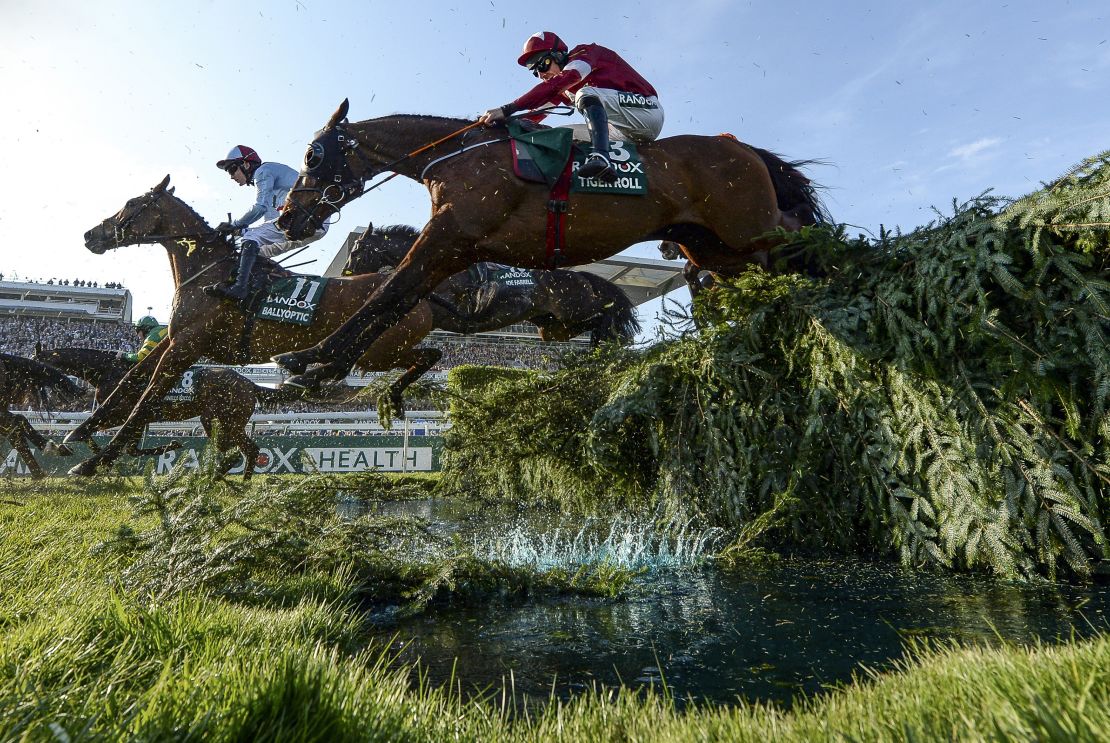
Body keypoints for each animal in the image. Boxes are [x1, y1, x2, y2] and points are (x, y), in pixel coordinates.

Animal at [34, 344, 299, 477]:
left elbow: (97, 429)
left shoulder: (124, 411)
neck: (107, 369)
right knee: (239, 449)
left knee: (245, 449)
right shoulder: (139, 416)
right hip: (220, 420)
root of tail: (250, 384)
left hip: (225, 420)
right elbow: (130, 447)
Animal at [64, 174, 441, 475]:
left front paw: (93, 462)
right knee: (429, 355)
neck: (210, 271)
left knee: (417, 357)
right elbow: (129, 380)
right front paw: (75, 434)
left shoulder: (187, 345)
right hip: (385, 350)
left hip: (376, 352)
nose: (89, 235)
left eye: (131, 204)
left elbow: (147, 398)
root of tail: (422, 299)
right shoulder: (173, 341)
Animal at [346, 223, 643, 344]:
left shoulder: (445, 309)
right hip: (552, 326)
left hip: (574, 309)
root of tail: (581, 276)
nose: (347, 274)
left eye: (356, 251)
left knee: (603, 314)